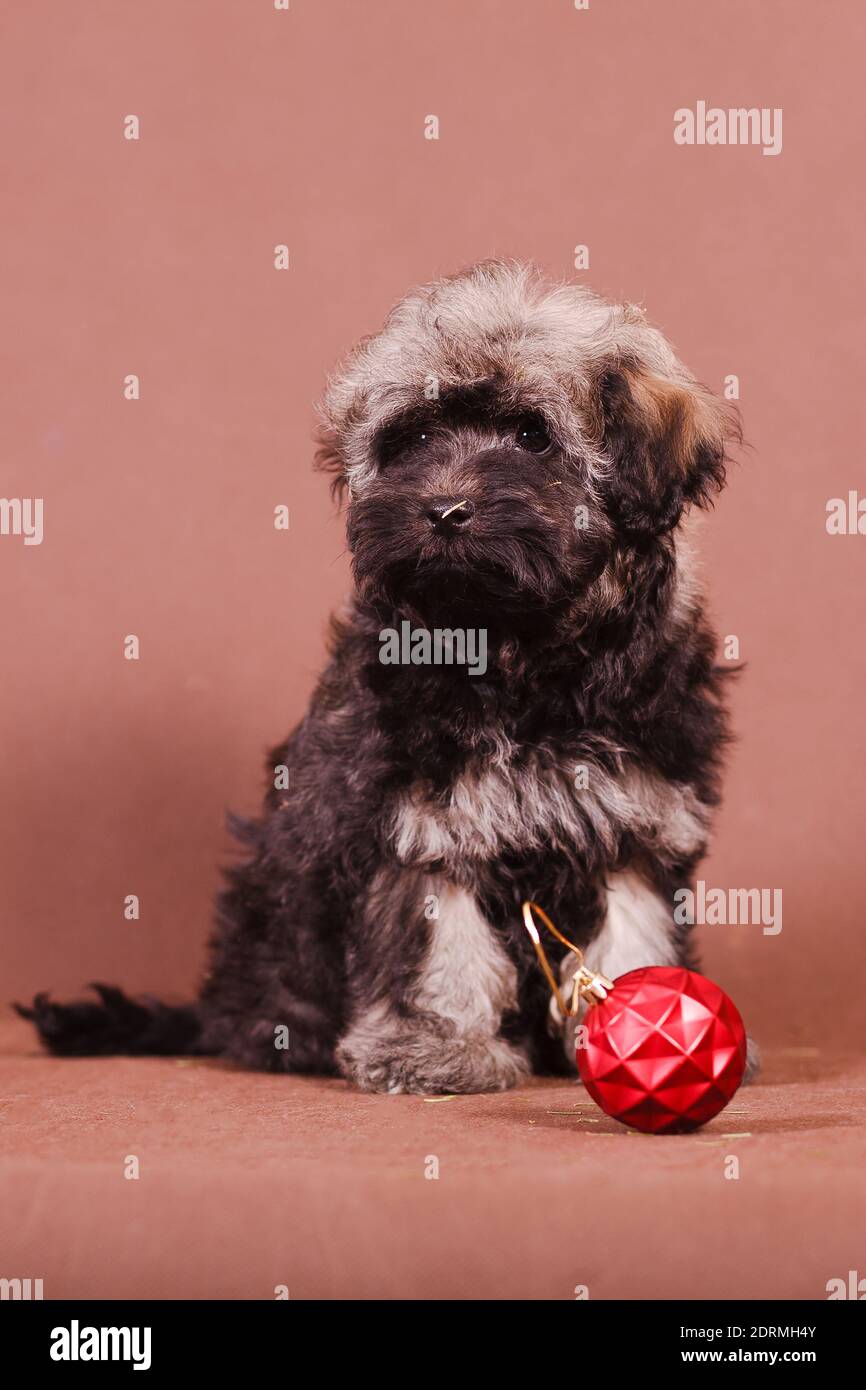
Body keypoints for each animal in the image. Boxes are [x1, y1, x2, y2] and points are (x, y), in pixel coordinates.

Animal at [18, 258, 750, 1084]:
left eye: (533, 436)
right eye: (415, 438)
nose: (444, 509)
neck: (516, 652)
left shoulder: (639, 813)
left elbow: (634, 927)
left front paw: (646, 1025)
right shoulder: (418, 815)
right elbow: (437, 942)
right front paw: (436, 1042)